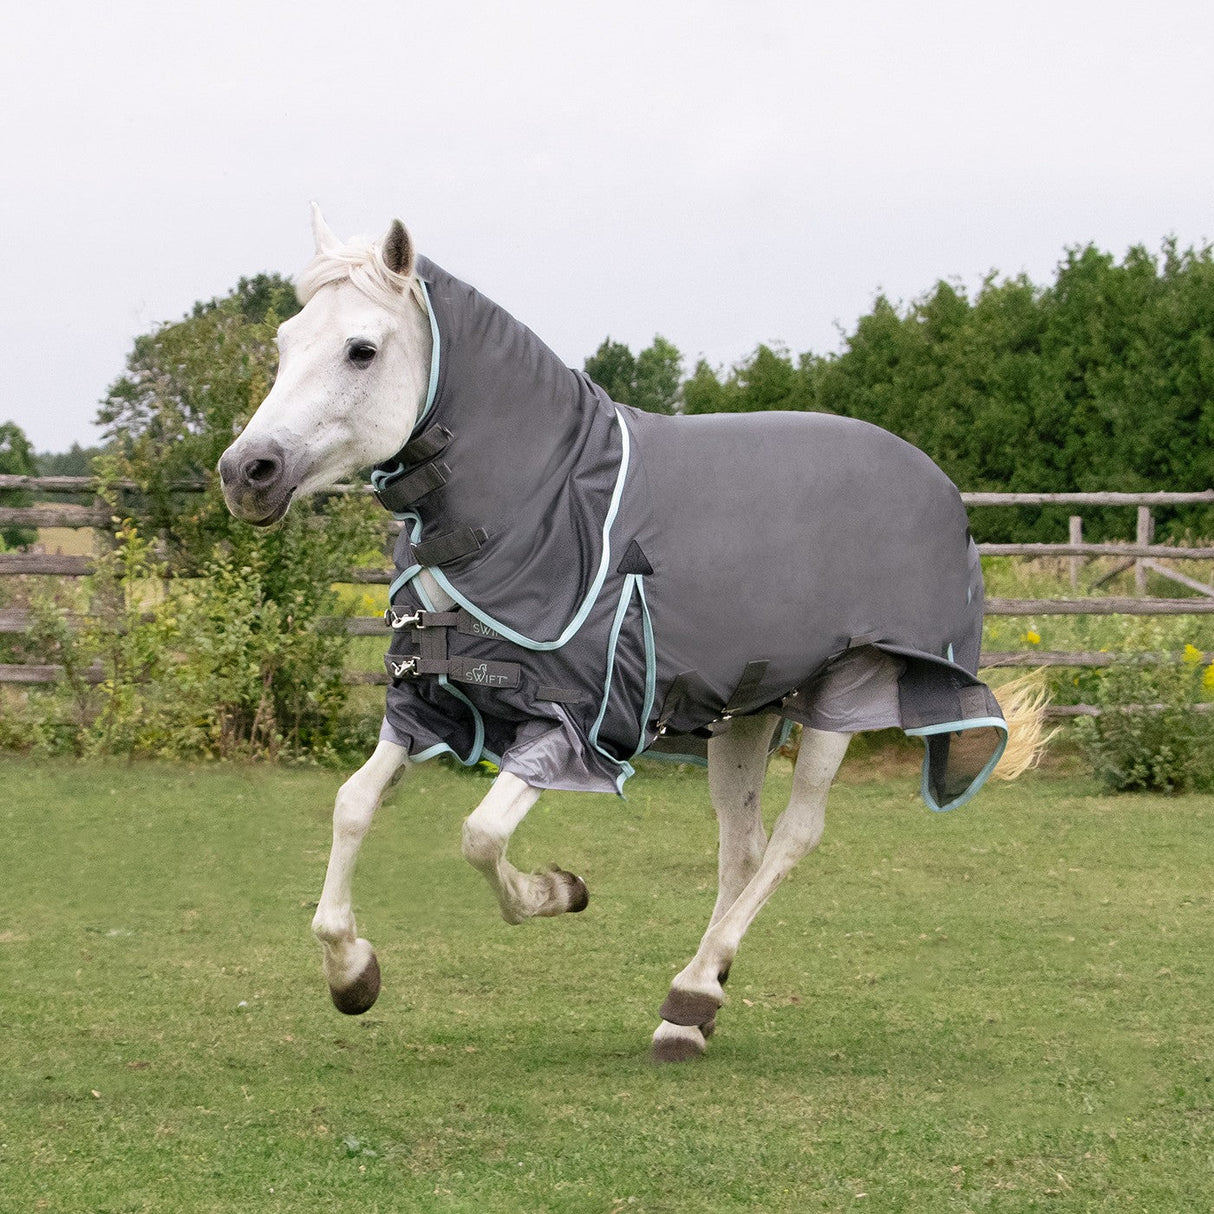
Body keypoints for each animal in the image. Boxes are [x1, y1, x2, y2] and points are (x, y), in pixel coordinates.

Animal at [219, 207, 1046, 1062]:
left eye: (362, 349)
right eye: (285, 342)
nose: (246, 472)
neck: (542, 508)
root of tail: (939, 484)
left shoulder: (574, 722)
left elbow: (481, 835)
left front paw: (558, 891)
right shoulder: (430, 703)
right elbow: (352, 805)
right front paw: (351, 971)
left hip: (846, 691)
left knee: (794, 837)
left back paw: (692, 991)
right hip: (746, 712)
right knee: (742, 846)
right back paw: (695, 1009)